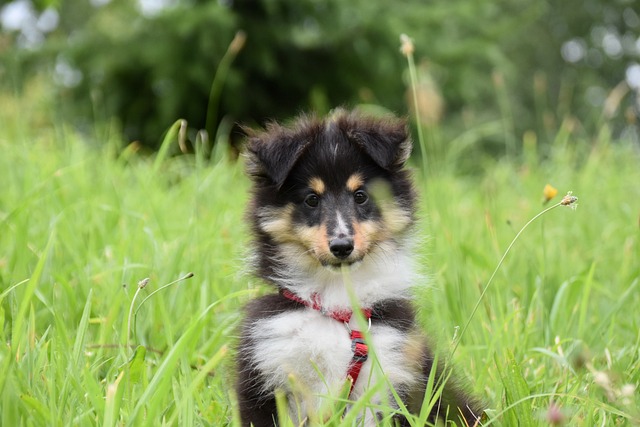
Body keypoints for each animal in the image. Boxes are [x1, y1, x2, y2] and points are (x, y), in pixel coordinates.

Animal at [238, 108, 482, 426]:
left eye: (361, 195)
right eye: (311, 199)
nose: (342, 246)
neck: (336, 300)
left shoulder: (389, 371)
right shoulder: (268, 370)